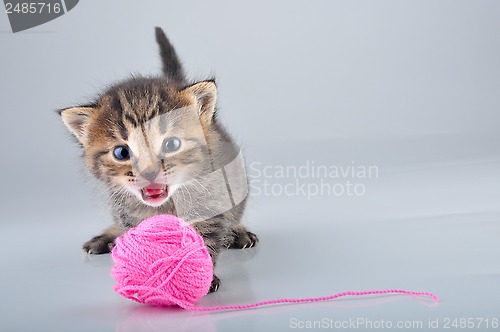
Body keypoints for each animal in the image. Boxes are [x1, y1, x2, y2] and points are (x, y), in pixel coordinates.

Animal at [58, 27, 258, 290]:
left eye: (171, 144)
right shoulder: (129, 213)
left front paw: (195, 278)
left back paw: (237, 231)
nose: (149, 172)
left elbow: (202, 239)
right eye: (122, 153)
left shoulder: (211, 204)